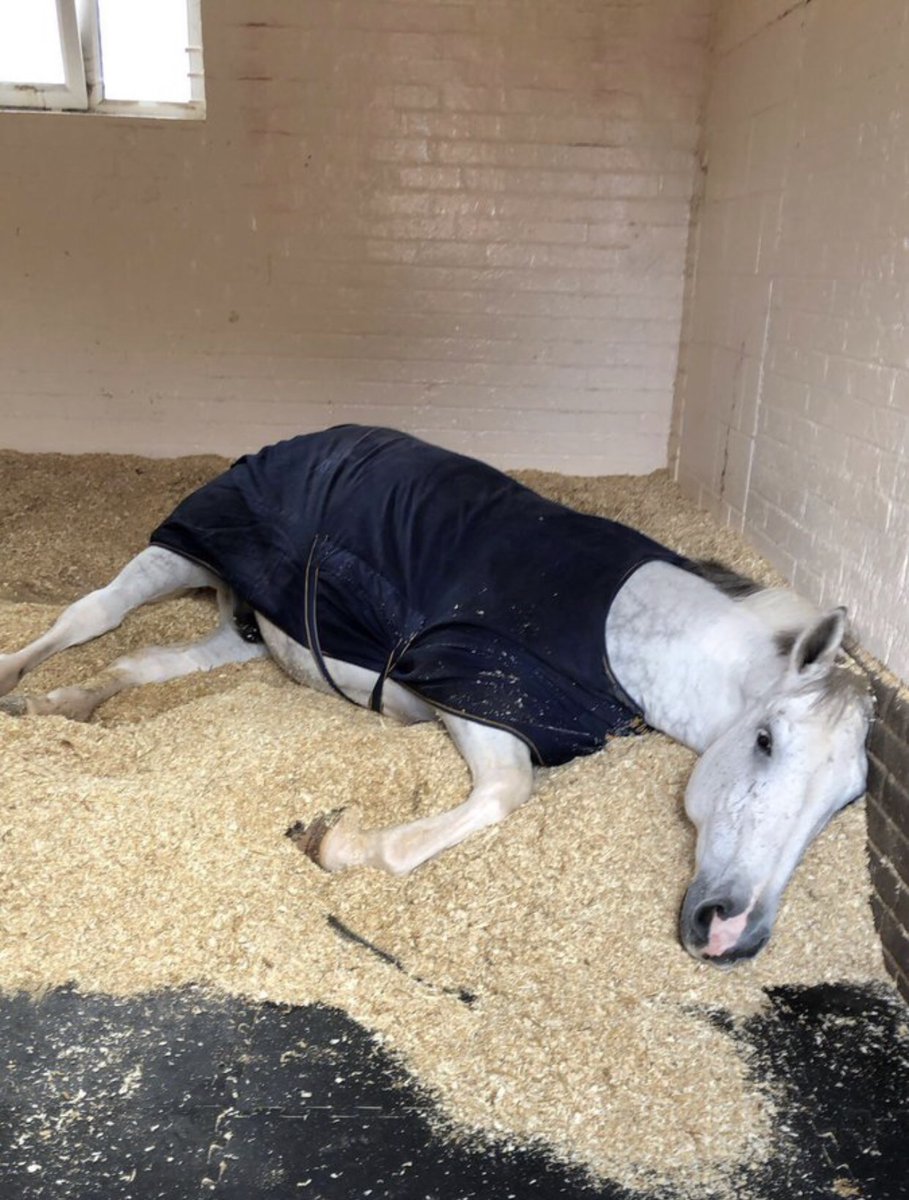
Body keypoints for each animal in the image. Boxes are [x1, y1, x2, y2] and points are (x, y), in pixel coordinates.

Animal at [0, 426, 872, 966]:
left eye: (846, 801)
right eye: (764, 739)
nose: (730, 933)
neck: (612, 633)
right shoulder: (473, 699)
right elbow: (502, 795)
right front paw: (330, 841)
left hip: (241, 632)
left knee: (137, 667)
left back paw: (60, 708)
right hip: (184, 549)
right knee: (92, 614)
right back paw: (15, 685)